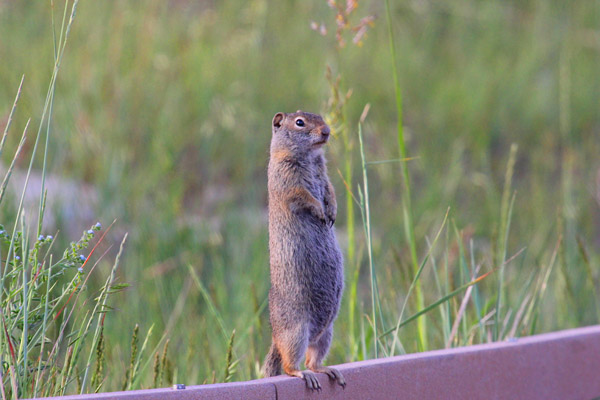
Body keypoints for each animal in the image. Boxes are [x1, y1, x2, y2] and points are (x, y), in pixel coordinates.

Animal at [264, 110, 344, 390]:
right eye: (300, 123)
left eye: (320, 116)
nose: (327, 131)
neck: (309, 156)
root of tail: (275, 337)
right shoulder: (286, 180)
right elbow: (302, 196)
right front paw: (320, 211)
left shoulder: (324, 175)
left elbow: (330, 190)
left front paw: (332, 211)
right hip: (296, 332)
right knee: (291, 365)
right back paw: (302, 375)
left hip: (327, 333)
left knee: (313, 360)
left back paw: (328, 370)